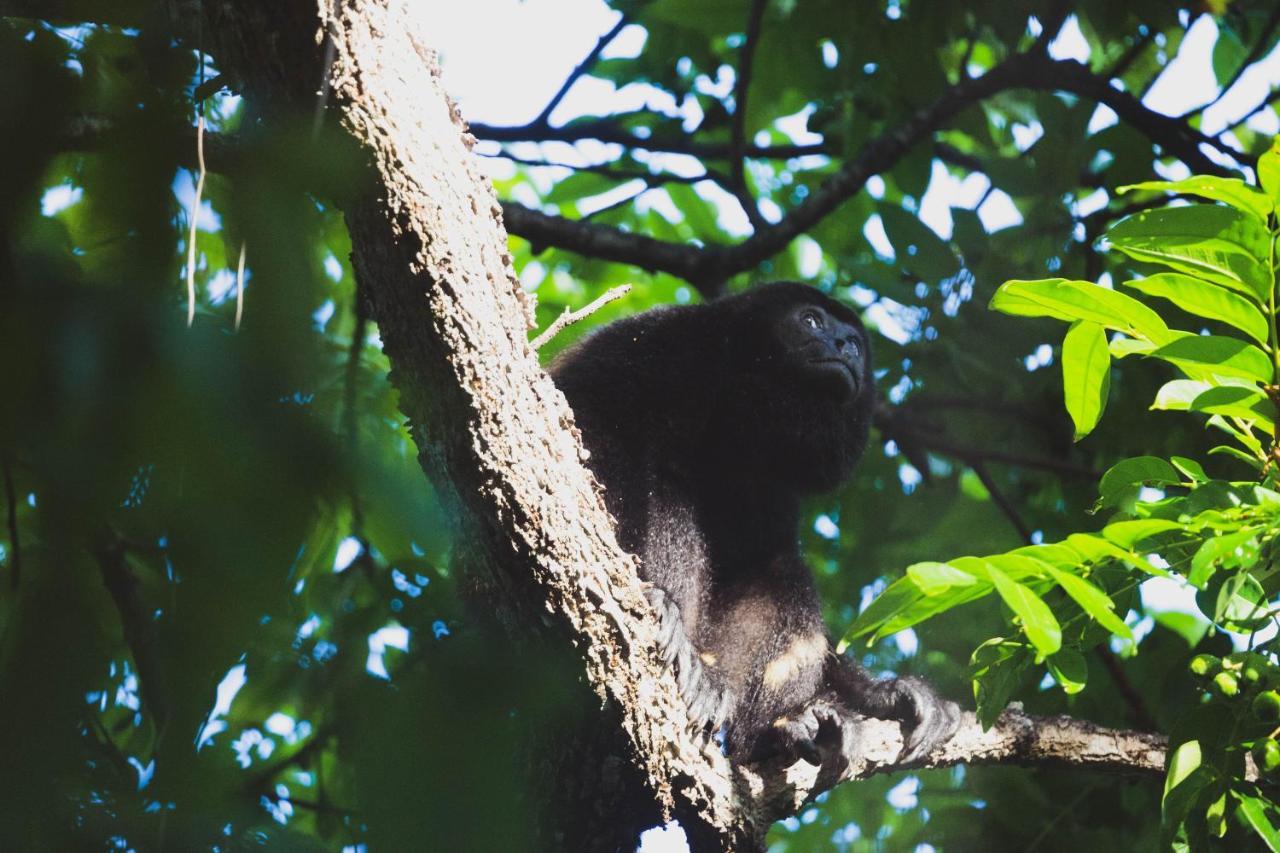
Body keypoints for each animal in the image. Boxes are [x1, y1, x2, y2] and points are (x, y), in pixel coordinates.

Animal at [550, 281, 962, 768]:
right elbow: (593, 429)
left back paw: (780, 728)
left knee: (782, 571)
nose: (843, 346)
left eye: (856, 343)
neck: (740, 405)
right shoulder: (660, 344)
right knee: (665, 490)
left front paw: (882, 693)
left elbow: (766, 553)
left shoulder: (773, 482)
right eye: (811, 320)